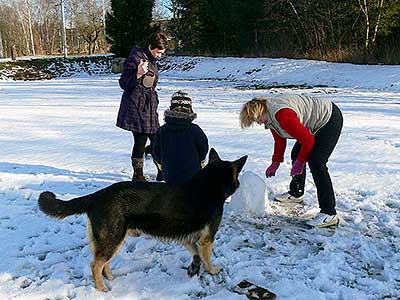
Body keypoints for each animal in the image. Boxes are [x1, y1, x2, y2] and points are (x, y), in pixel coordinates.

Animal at [39, 148, 247, 290]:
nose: (239, 185)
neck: (210, 183)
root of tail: (97, 195)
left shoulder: (190, 239)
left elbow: (196, 256)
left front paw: (193, 270)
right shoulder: (207, 239)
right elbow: (207, 259)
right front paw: (212, 271)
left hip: (113, 241)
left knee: (103, 263)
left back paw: (111, 279)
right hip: (113, 239)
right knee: (95, 265)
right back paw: (102, 288)